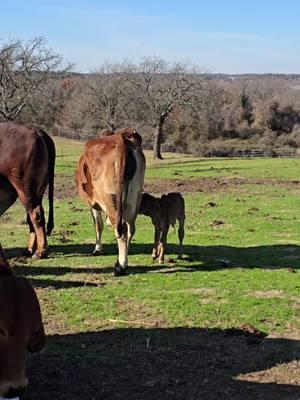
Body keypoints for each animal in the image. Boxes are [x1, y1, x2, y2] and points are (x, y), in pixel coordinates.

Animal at [0, 122, 55, 258]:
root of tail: (36, 130)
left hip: (25, 188)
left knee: (36, 214)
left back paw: (40, 251)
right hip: (37, 191)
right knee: (31, 217)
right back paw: (29, 249)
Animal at [75, 128, 145, 276]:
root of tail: (120, 138)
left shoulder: (94, 204)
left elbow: (98, 225)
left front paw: (97, 249)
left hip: (108, 197)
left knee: (121, 228)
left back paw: (120, 266)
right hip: (135, 197)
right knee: (130, 228)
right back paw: (122, 260)